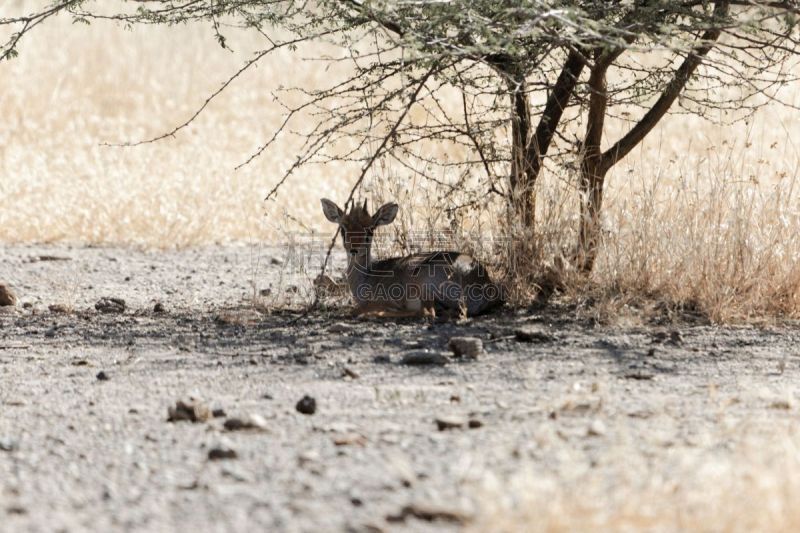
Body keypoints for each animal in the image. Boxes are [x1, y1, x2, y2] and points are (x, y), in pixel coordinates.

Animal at [320, 198, 504, 316]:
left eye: (370, 230)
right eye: (343, 229)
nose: (354, 250)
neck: (368, 276)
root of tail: (485, 282)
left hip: (424, 285)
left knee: (427, 313)